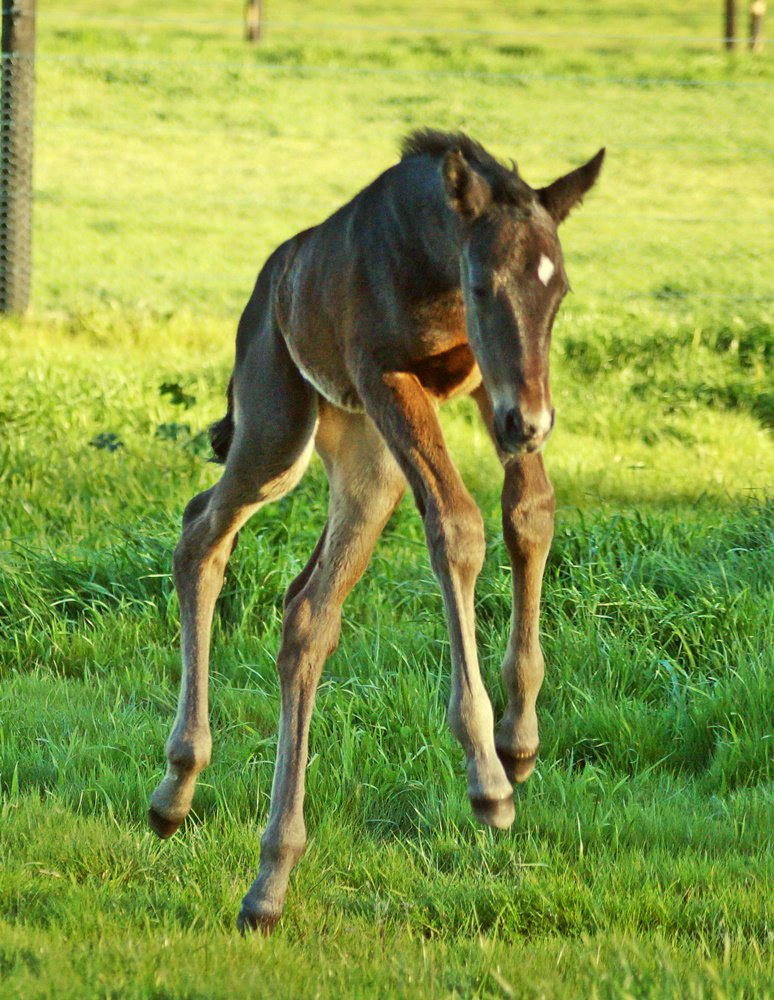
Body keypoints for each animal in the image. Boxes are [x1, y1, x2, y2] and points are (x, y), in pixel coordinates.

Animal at [148, 129, 604, 933]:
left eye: (559, 294)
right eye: (482, 286)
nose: (533, 424)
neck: (430, 258)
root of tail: (266, 287)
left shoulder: (488, 383)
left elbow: (530, 513)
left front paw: (519, 739)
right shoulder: (391, 376)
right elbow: (458, 526)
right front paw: (488, 776)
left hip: (368, 465)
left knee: (306, 614)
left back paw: (267, 879)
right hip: (279, 431)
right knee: (202, 530)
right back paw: (177, 788)